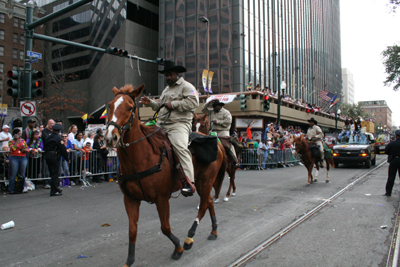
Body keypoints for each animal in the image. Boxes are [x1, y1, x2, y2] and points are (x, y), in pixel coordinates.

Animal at [104, 85, 227, 266]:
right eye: (110, 106)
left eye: (130, 107)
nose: (110, 138)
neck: (141, 157)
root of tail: (216, 142)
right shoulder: (130, 199)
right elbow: (132, 231)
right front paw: (129, 260)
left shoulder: (161, 198)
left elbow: (165, 227)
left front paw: (178, 248)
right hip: (199, 182)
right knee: (209, 202)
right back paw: (214, 231)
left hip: (206, 181)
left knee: (204, 205)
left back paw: (189, 238)